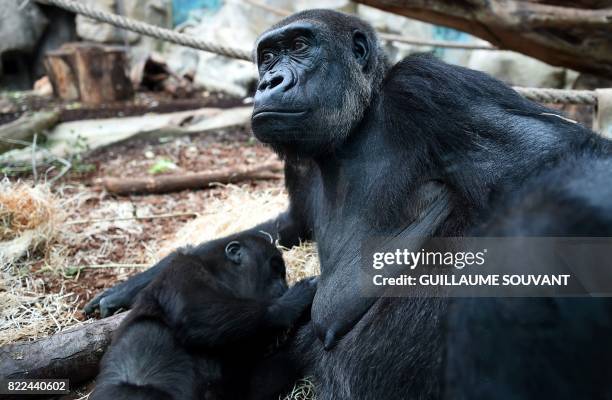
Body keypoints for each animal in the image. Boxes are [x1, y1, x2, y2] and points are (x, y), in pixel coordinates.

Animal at [93, 233, 318, 400]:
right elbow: (193, 312)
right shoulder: (183, 270)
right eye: (275, 269)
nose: (283, 286)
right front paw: (291, 302)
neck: (220, 277)